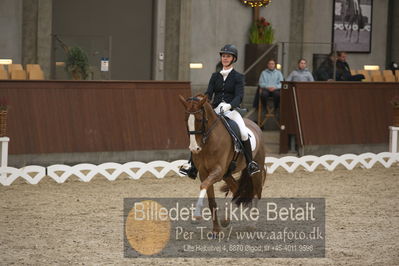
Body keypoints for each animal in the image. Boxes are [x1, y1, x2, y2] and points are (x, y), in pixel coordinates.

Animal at [180, 94, 268, 235]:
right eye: (185, 119)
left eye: (200, 119)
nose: (194, 148)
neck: (209, 141)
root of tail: (255, 124)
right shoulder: (205, 173)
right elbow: (211, 201)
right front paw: (216, 230)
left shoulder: (218, 171)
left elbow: (203, 186)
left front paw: (196, 216)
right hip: (227, 174)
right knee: (238, 190)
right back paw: (226, 219)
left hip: (256, 171)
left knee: (256, 194)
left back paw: (252, 224)